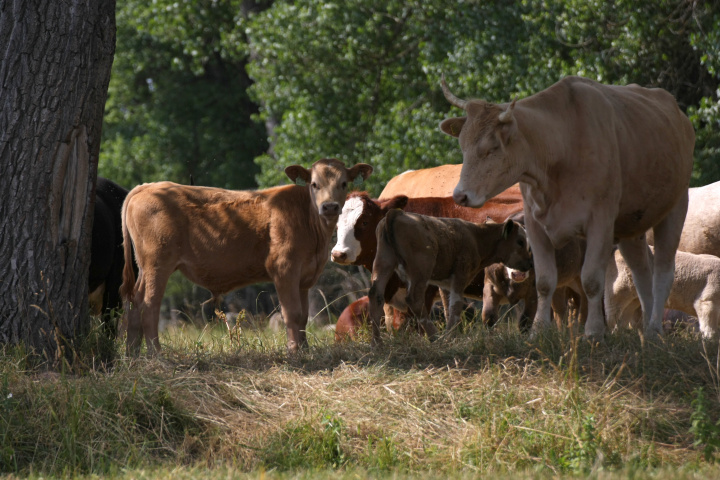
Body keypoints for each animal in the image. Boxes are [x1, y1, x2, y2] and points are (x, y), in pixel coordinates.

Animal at [119, 159, 374, 354]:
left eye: (343, 183)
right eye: (314, 184)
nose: (330, 207)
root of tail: (147, 187)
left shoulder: (304, 277)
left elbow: (303, 317)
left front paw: (305, 349)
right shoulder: (285, 270)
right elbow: (292, 314)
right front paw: (294, 352)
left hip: (146, 268)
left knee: (135, 302)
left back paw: (133, 354)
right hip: (157, 265)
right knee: (149, 306)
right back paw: (155, 354)